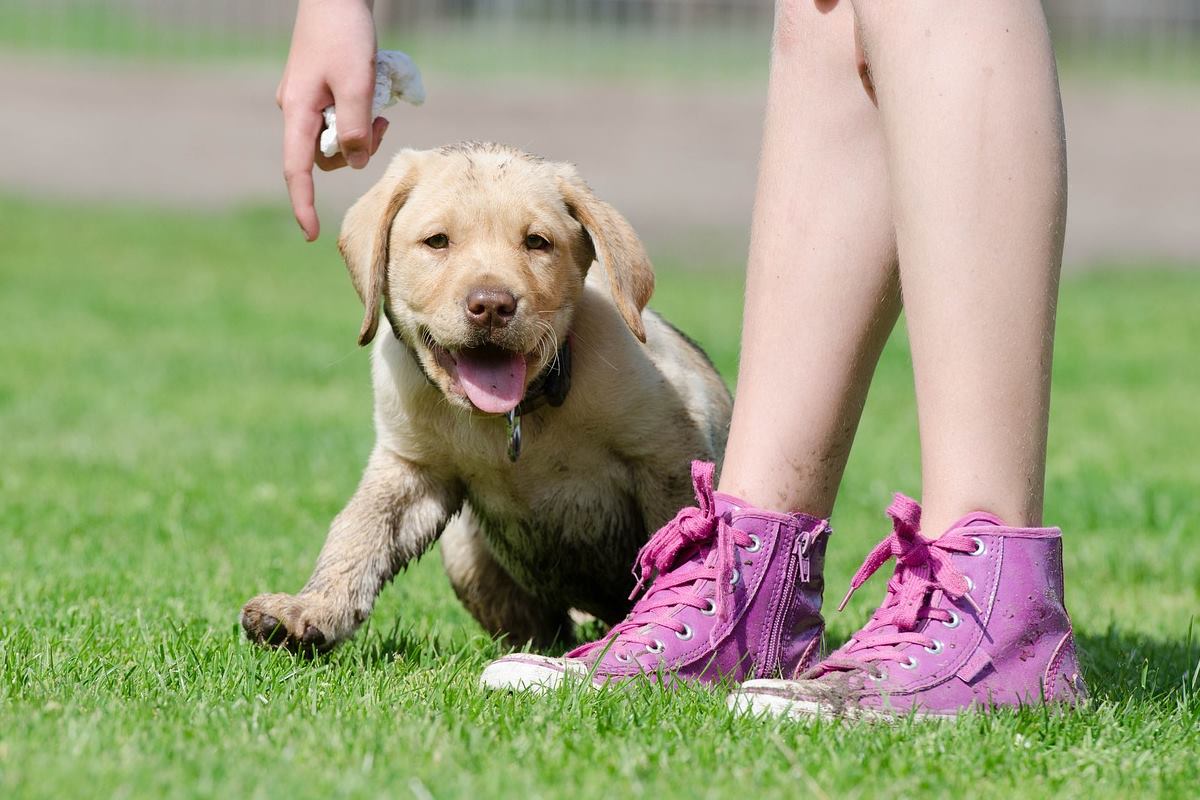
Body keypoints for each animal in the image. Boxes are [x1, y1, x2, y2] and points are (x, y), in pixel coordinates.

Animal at [238, 143, 729, 652]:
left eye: (537, 242)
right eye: (437, 241)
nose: (492, 306)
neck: (514, 416)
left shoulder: (668, 457)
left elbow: (680, 545)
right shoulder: (410, 468)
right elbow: (357, 534)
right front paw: (311, 609)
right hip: (464, 552)